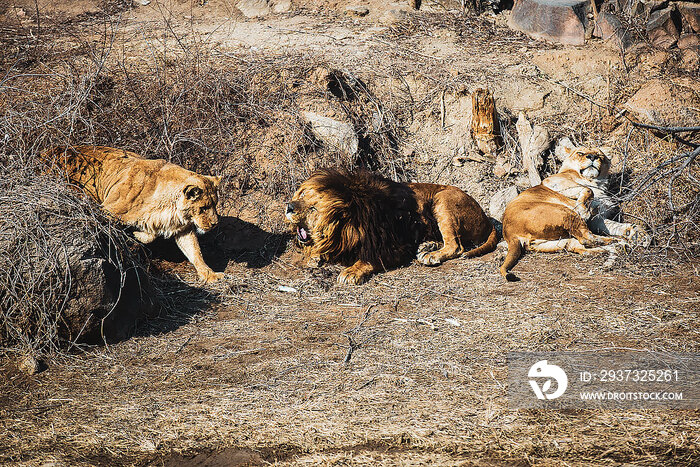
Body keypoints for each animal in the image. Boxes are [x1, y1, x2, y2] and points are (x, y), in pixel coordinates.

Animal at [41, 144, 221, 284]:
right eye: (203, 208)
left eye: (215, 204)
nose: (215, 224)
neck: (169, 208)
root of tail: (44, 152)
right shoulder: (107, 210)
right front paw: (135, 235)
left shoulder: (182, 228)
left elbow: (195, 251)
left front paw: (209, 274)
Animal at [284, 169, 498, 286]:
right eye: (302, 195)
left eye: (313, 208)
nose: (289, 207)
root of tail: (486, 217)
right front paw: (314, 256)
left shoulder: (393, 246)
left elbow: (368, 259)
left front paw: (351, 272)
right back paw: (426, 246)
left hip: (443, 199)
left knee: (456, 246)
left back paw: (431, 255)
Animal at [500, 139, 648, 282]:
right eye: (581, 153)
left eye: (599, 155)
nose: (592, 157)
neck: (595, 181)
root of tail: (509, 233)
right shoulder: (554, 181)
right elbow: (588, 189)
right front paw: (583, 209)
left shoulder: (596, 218)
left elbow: (615, 225)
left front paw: (637, 233)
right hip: (564, 212)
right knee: (587, 239)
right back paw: (617, 242)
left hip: (553, 241)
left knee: (581, 246)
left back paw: (619, 246)